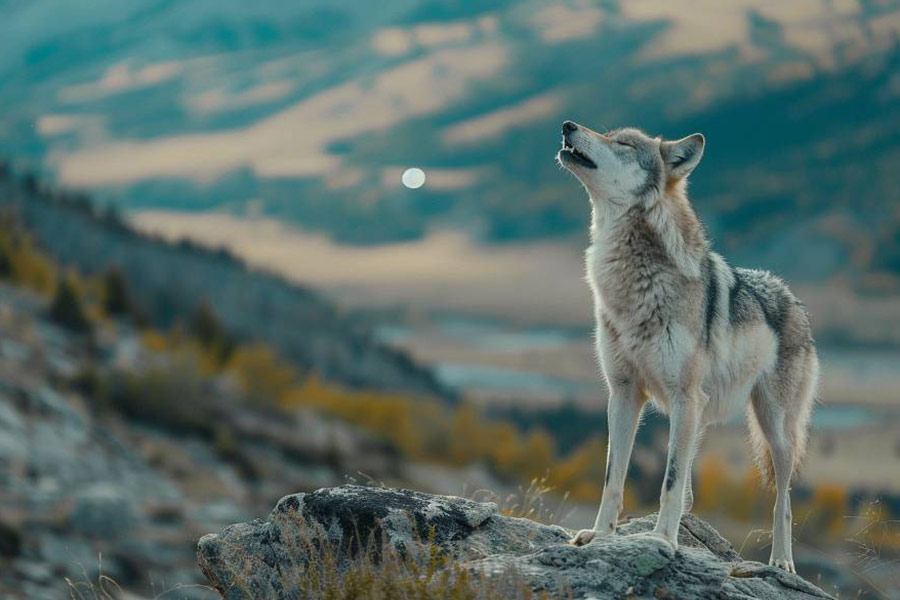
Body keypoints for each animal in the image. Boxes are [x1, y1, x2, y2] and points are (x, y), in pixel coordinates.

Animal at [557, 120, 818, 573]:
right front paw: (600, 535)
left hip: (773, 429)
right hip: (701, 414)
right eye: (609, 134)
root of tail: (790, 294)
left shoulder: (682, 396)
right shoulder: (623, 395)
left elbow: (670, 480)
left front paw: (661, 539)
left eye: (622, 144)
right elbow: (613, 477)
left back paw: (782, 562)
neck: (634, 281)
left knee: (782, 500)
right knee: (695, 488)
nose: (568, 125)